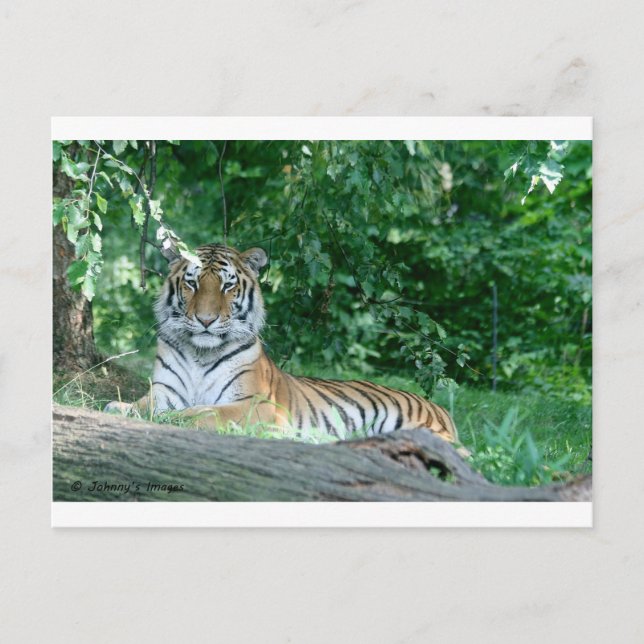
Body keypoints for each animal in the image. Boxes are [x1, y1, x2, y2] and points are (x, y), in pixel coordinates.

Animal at [105, 242, 460, 447]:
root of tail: (438, 406)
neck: (200, 353)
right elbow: (142, 405)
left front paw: (171, 420)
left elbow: (202, 412)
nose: (206, 320)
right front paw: (119, 408)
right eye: (191, 284)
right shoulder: (164, 391)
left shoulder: (255, 405)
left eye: (227, 286)